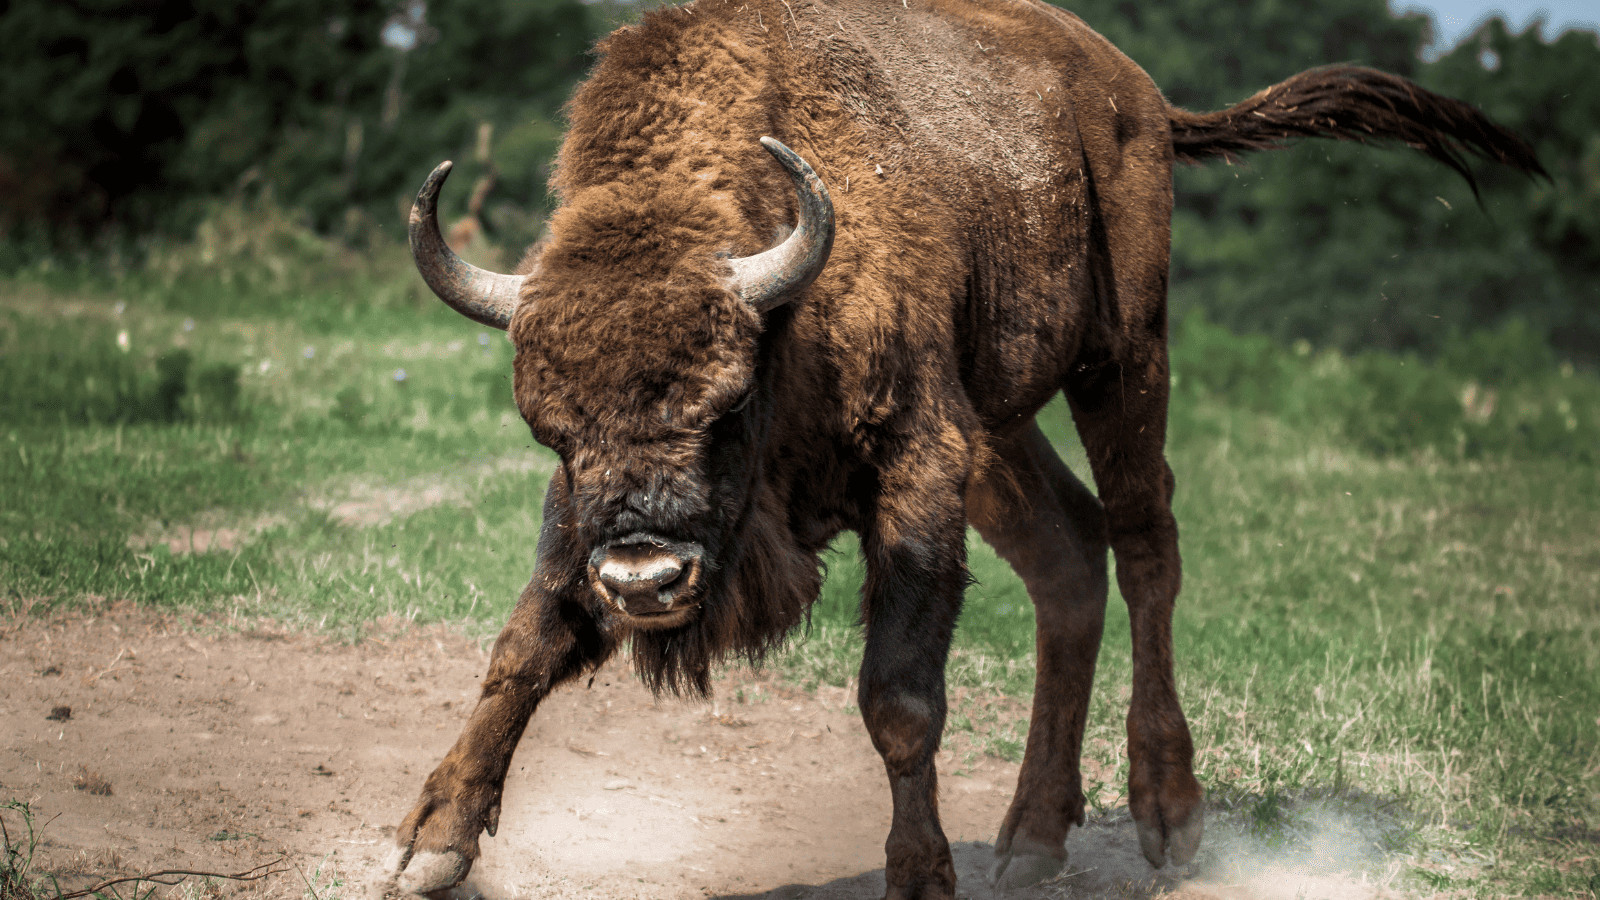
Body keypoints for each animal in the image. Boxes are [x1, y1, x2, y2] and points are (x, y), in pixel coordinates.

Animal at [385, 1, 1541, 897]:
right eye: (550, 428)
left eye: (728, 402)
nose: (643, 578)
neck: (786, 306)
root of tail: (1134, 94)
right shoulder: (586, 518)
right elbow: (526, 642)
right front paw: (430, 846)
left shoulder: (917, 467)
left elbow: (899, 698)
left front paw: (921, 875)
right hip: (1002, 424)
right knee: (1068, 557)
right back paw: (1030, 840)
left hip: (1122, 358)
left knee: (1144, 544)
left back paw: (1168, 815)